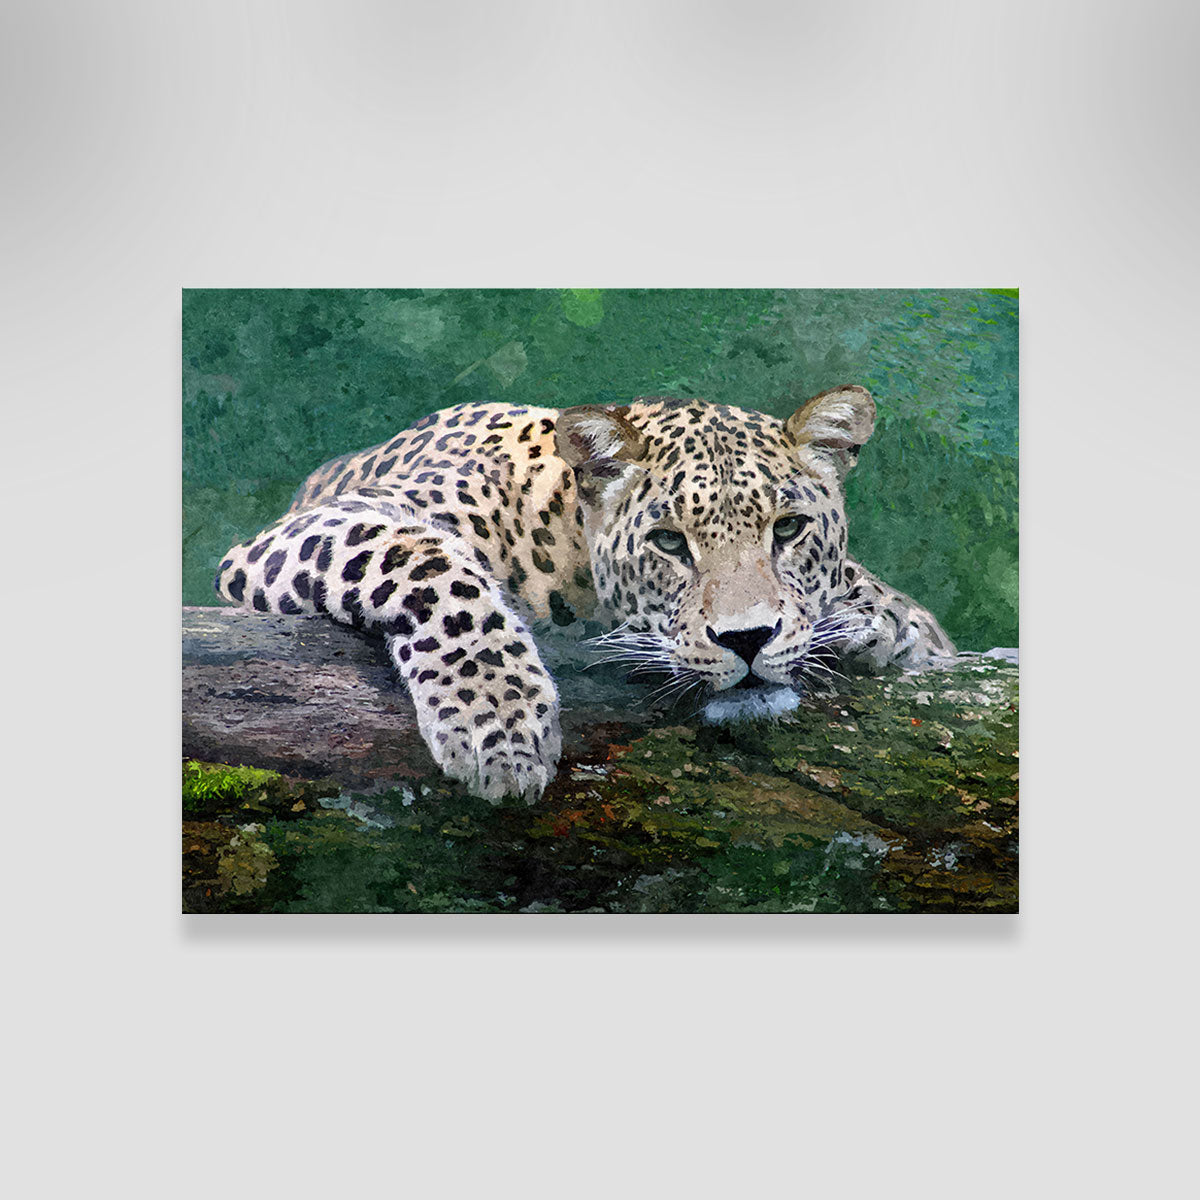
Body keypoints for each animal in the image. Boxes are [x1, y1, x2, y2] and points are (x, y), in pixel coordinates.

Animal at [214, 386, 955, 801]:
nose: (747, 639)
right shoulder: (318, 526)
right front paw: (499, 725)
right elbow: (433, 568)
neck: (563, 539)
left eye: (790, 529)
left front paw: (882, 622)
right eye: (669, 543)